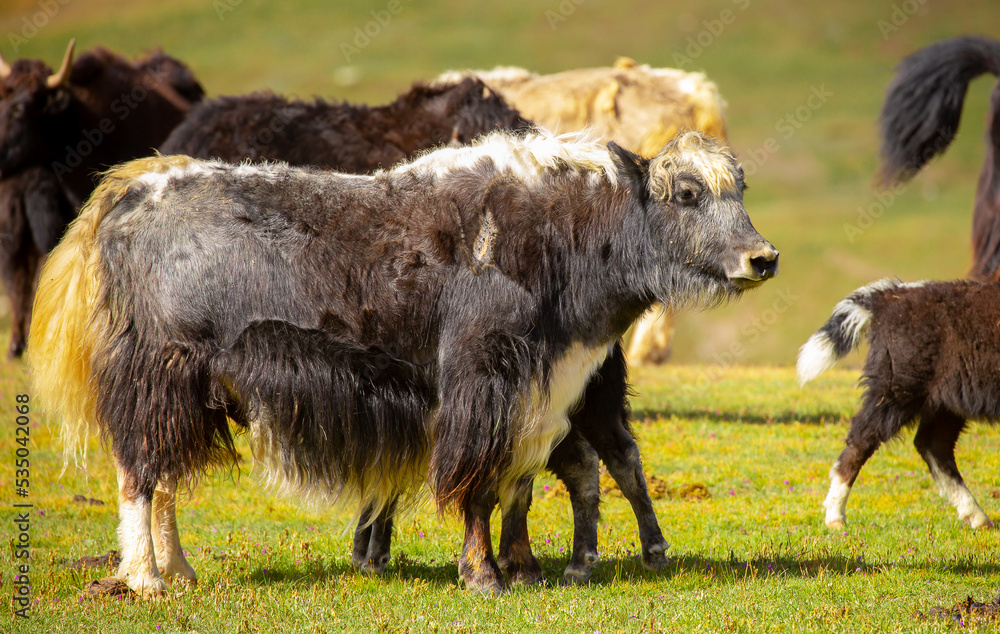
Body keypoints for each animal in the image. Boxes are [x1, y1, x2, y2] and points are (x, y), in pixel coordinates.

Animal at [30, 129, 777, 597]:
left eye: (741, 187)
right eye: (688, 195)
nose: (763, 258)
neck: (569, 236)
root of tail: (122, 196)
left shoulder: (544, 394)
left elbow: (522, 483)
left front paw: (526, 569)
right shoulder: (481, 383)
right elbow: (480, 484)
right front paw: (483, 576)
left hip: (195, 392)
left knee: (165, 478)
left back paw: (180, 572)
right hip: (159, 376)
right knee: (140, 473)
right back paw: (148, 581)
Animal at [798, 278, 998, 530]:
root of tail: (889, 295)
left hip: (945, 400)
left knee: (933, 444)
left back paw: (977, 517)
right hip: (897, 389)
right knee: (862, 440)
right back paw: (835, 517)